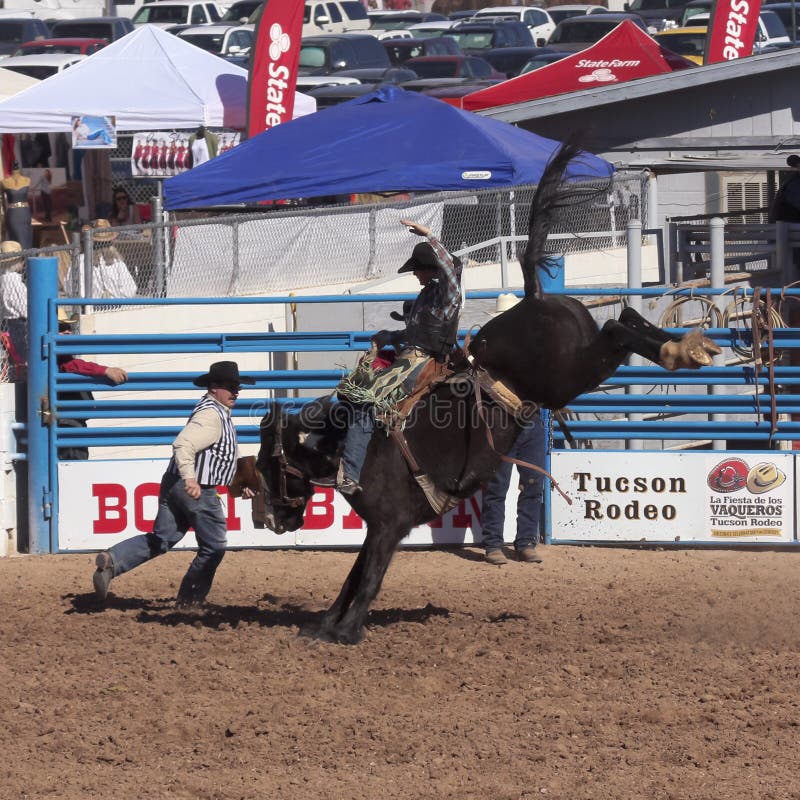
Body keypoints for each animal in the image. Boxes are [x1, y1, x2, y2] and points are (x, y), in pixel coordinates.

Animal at [250, 144, 720, 644]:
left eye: (267, 466)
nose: (272, 521)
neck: (345, 446)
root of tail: (535, 297)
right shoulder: (378, 526)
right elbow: (354, 576)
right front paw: (324, 624)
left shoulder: (388, 524)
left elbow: (368, 578)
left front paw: (345, 630)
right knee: (626, 317)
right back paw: (687, 346)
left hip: (568, 373)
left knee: (617, 326)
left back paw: (679, 350)